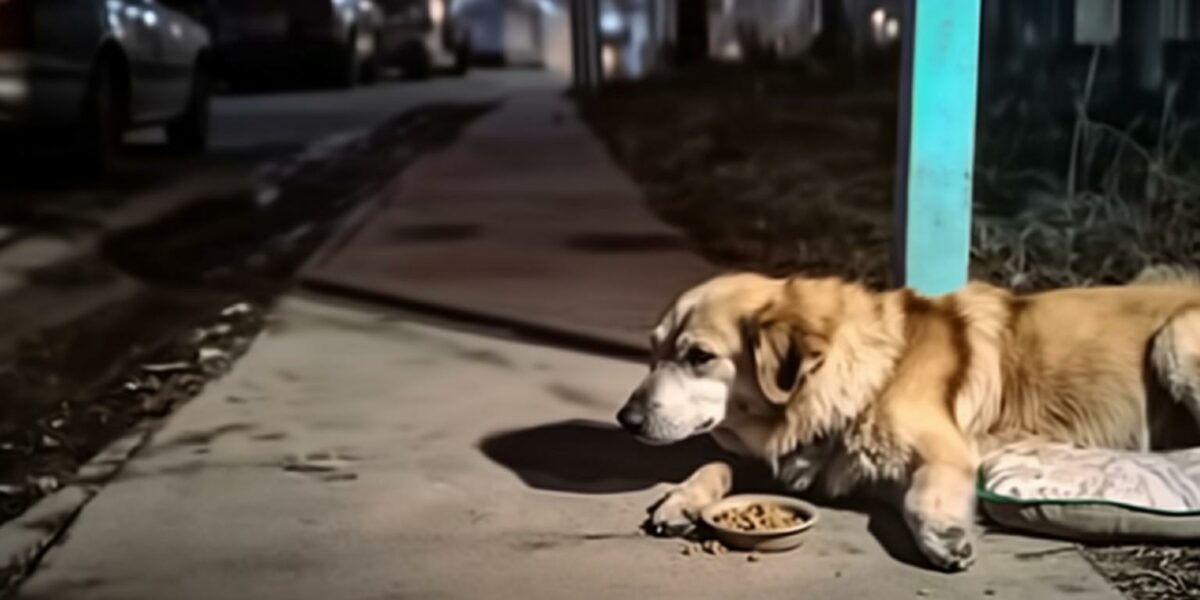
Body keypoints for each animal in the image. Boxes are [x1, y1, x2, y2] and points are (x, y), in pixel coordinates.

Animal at [614, 267, 1200, 571]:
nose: (627, 418)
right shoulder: (791, 455)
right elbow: (717, 465)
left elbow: (922, 495)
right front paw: (682, 498)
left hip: (1175, 340)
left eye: (699, 356)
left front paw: (944, 535)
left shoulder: (945, 449)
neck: (868, 372)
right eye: (654, 351)